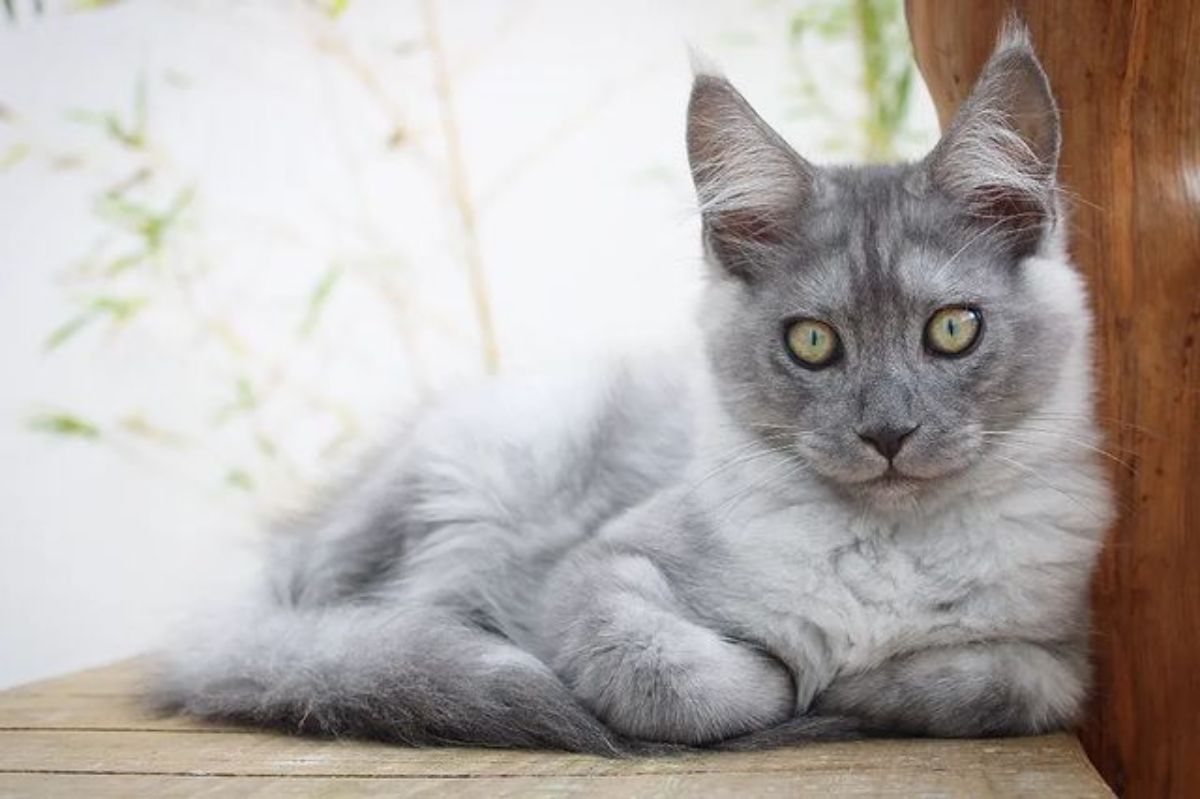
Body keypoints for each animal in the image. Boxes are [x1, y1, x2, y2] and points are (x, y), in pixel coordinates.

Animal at [154, 20, 1108, 753]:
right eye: (812, 342)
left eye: (952, 329)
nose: (887, 434)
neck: (887, 552)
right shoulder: (595, 572)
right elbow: (685, 682)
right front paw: (784, 676)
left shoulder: (1060, 647)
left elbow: (999, 683)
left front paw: (854, 682)